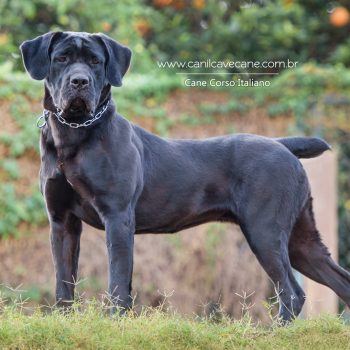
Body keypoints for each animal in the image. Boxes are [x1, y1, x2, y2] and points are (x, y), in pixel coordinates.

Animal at [20, 31, 350, 322]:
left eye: (95, 61)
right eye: (62, 58)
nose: (80, 81)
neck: (74, 134)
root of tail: (281, 144)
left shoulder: (117, 216)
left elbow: (118, 280)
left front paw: (116, 323)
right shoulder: (62, 220)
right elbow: (64, 280)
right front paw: (63, 322)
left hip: (265, 230)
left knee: (292, 292)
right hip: (301, 239)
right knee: (339, 281)